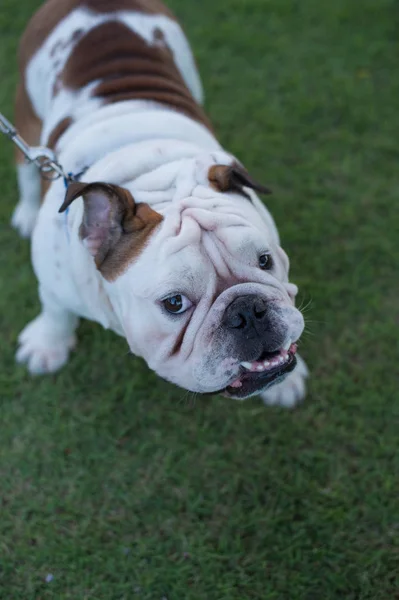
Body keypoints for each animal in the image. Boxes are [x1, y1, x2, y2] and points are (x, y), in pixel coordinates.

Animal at [10, 0, 310, 408]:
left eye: (265, 261)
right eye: (174, 304)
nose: (248, 310)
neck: (150, 175)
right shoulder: (55, 283)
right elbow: (55, 310)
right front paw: (46, 346)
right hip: (25, 115)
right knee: (25, 170)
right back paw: (25, 213)